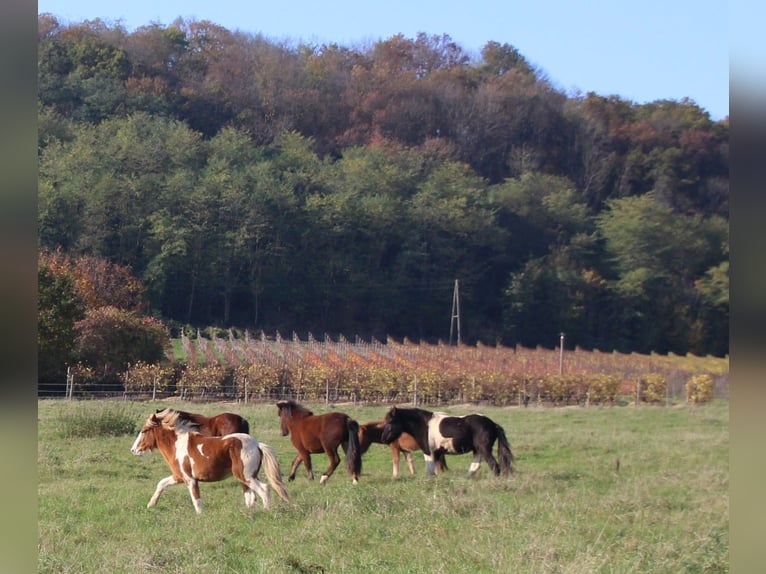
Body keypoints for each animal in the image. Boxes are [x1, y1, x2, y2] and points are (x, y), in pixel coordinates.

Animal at [130, 410, 290, 516]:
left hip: (246, 476)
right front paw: (151, 504)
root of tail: (257, 444)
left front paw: (200, 516)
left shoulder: (190, 480)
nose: (133, 450)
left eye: (144, 431)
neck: (178, 445)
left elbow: (197, 501)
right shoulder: (179, 476)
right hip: (245, 478)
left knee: (264, 489)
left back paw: (267, 511)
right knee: (250, 496)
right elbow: (161, 483)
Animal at [380, 408, 516, 480]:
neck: (425, 426)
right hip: (477, 450)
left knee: (494, 465)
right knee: (475, 466)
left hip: (484, 449)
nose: (384, 439)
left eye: (390, 422)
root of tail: (493, 424)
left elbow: (430, 470)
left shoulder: (430, 451)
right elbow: (435, 469)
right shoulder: (436, 453)